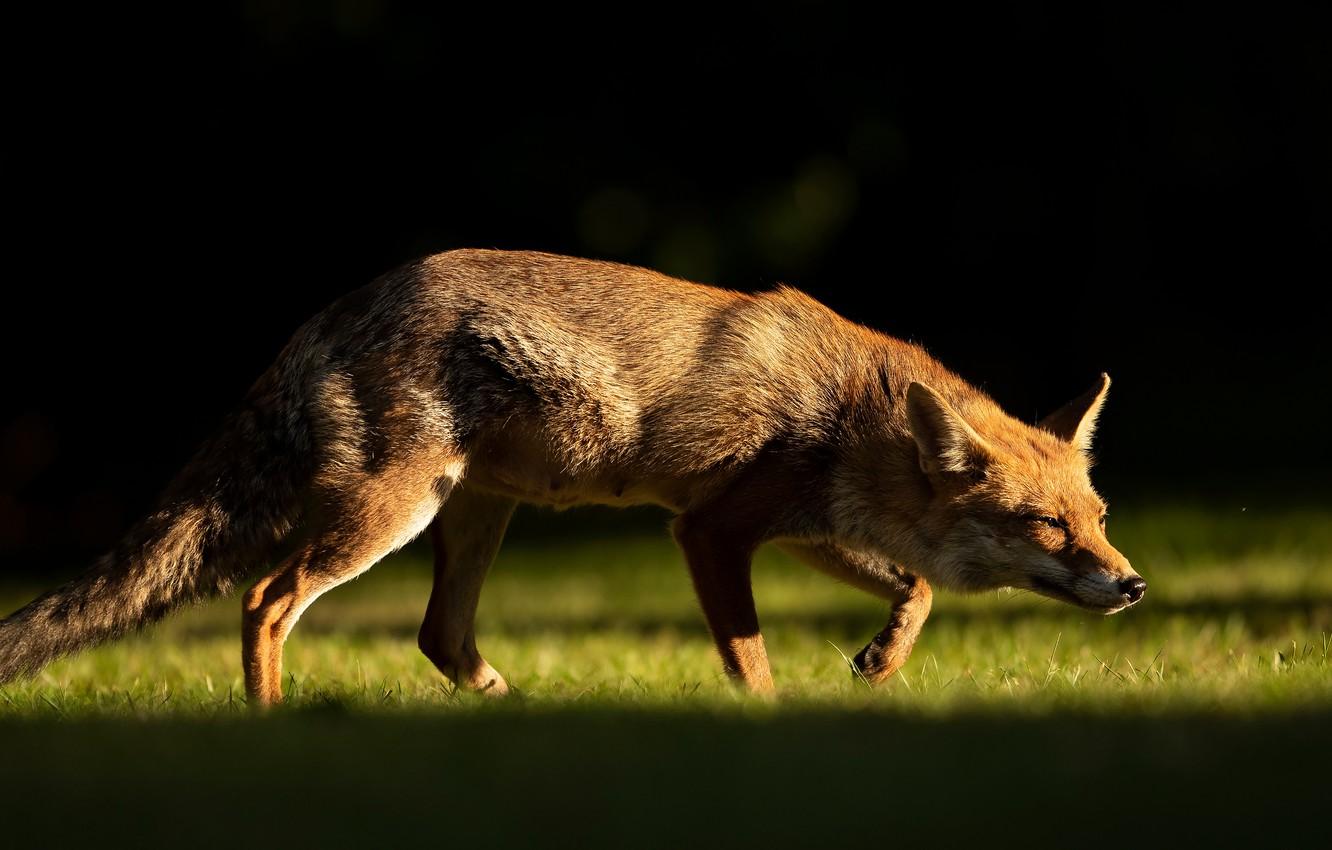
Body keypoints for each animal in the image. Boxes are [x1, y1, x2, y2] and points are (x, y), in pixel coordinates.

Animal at [0, 249, 1143, 704]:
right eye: (1045, 527)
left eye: (1096, 513)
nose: (1132, 584)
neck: (847, 411)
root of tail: (330, 309)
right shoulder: (710, 531)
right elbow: (753, 661)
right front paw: (776, 726)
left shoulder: (796, 521)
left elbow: (914, 588)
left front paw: (880, 660)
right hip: (389, 515)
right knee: (266, 597)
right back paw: (268, 720)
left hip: (475, 515)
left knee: (438, 635)